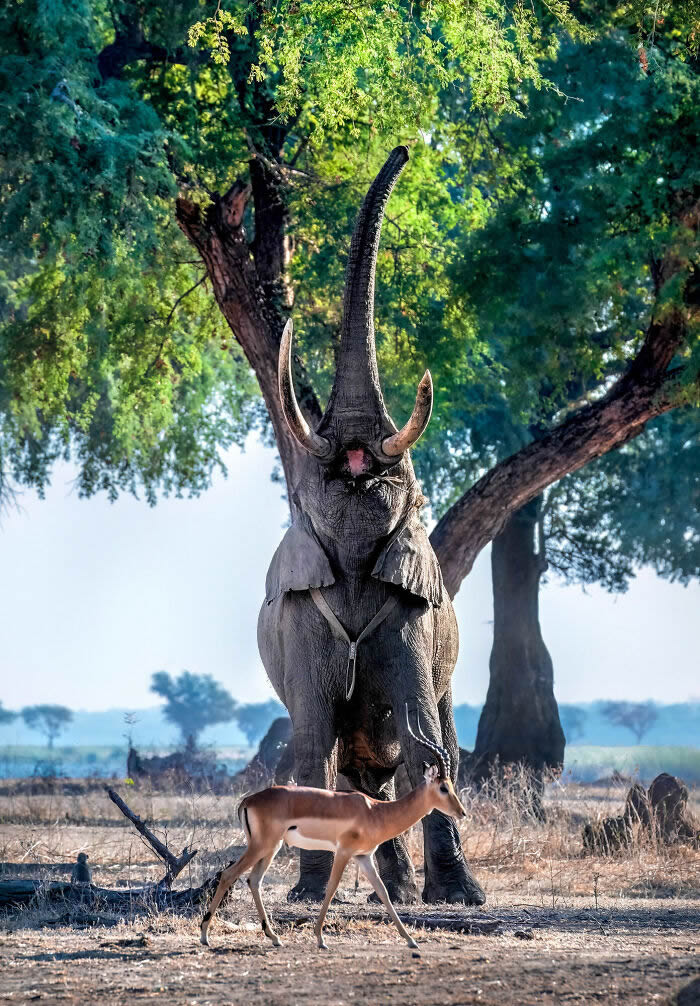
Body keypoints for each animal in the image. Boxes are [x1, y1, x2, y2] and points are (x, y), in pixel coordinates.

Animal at [257, 145, 486, 909]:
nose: (405, 150)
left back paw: (426, 892)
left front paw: (461, 901)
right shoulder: (302, 615)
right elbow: (308, 742)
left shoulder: (413, 613)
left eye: (397, 477)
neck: (357, 567)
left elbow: (426, 746)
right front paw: (303, 897)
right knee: (352, 764)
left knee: (434, 740)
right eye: (324, 477)